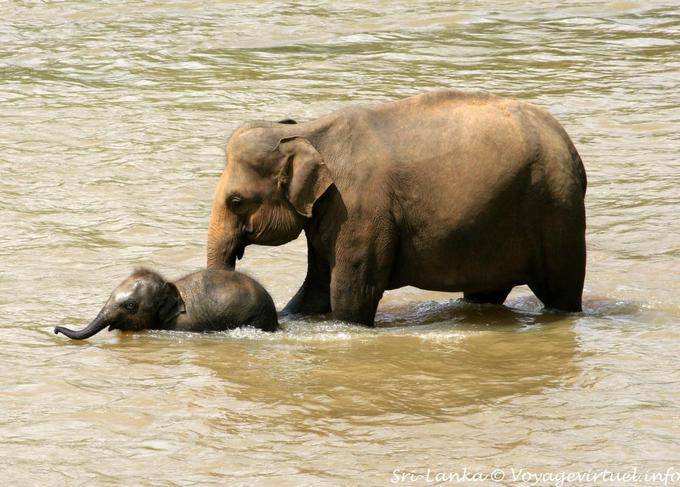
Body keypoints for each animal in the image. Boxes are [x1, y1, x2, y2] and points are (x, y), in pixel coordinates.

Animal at [207, 89, 587, 326]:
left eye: (236, 201)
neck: (307, 131)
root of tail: (569, 144)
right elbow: (316, 288)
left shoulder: (360, 209)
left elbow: (350, 294)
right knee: (486, 293)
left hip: (556, 208)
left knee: (561, 290)